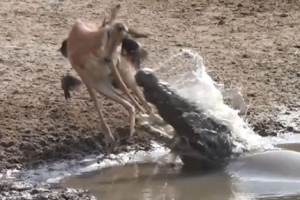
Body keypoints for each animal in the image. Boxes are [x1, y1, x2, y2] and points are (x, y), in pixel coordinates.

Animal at [59, 4, 156, 145]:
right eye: (108, 33)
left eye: (122, 38)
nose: (107, 57)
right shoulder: (85, 77)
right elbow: (96, 102)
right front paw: (109, 137)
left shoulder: (113, 67)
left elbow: (126, 91)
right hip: (102, 85)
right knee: (129, 103)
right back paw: (132, 130)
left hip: (124, 76)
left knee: (136, 96)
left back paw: (150, 118)